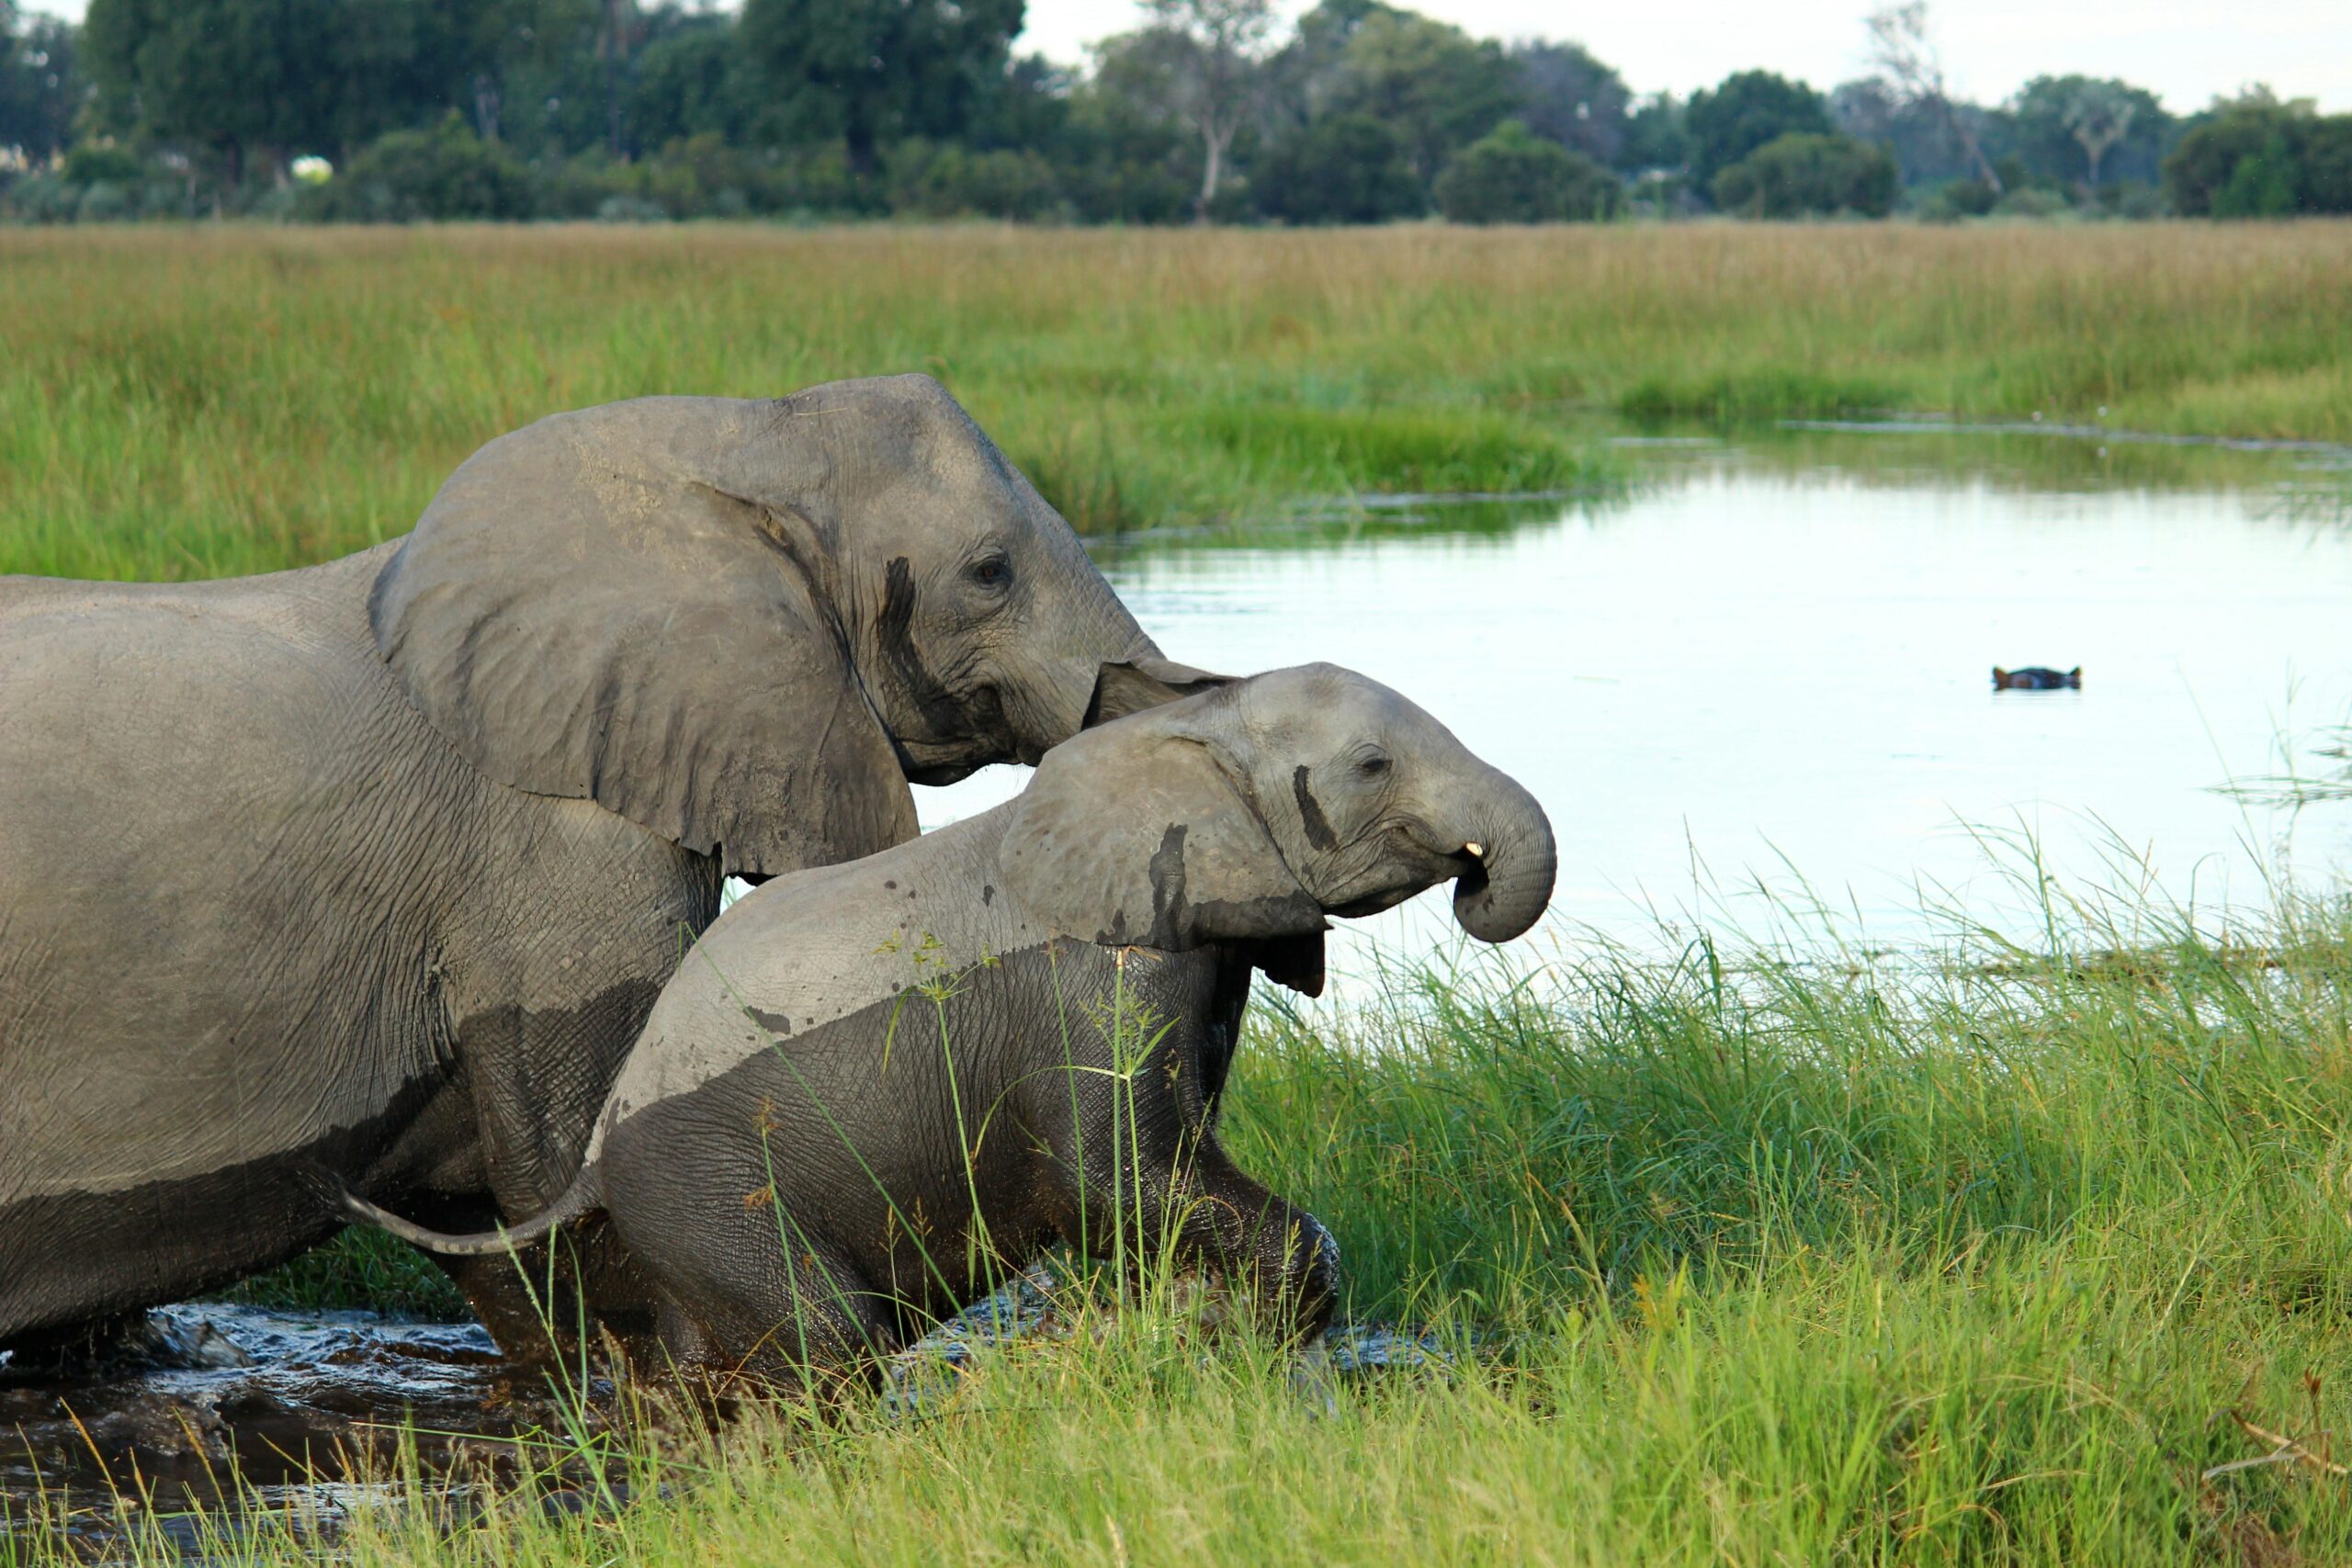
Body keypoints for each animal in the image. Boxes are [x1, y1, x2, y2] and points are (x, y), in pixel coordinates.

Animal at [343, 663, 1557, 1389]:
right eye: (1372, 767)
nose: (1473, 879)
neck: (1187, 732)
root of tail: (598, 1152)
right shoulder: (1099, 976)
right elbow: (1117, 1176)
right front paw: (1257, 1346)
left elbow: (1146, 1192)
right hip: (700, 1186)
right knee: (831, 1341)